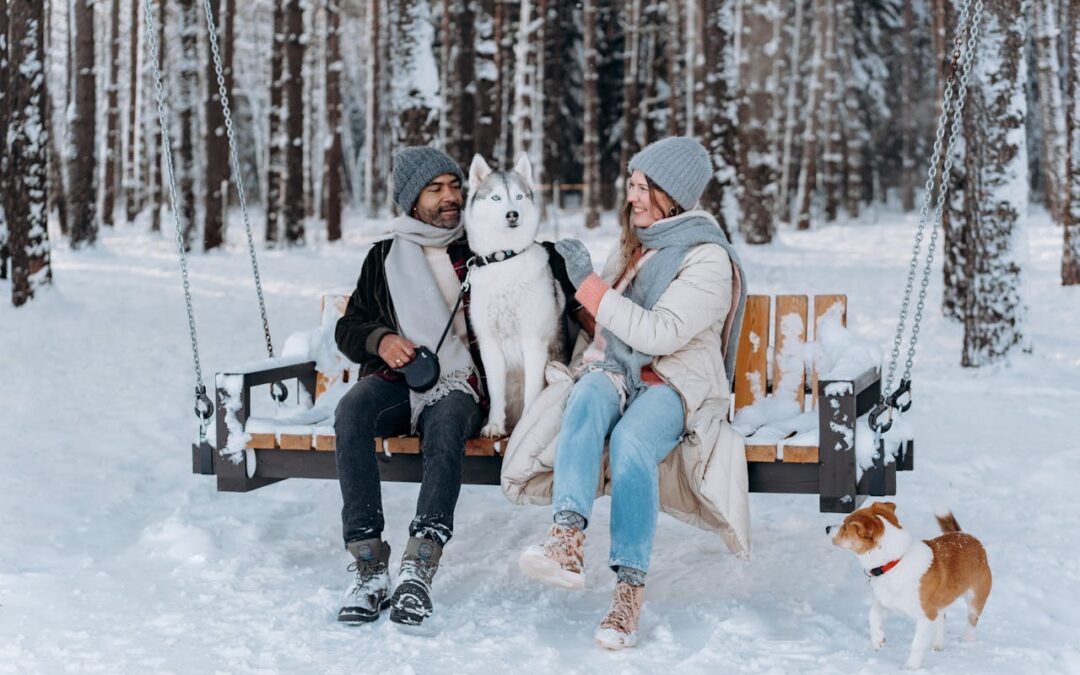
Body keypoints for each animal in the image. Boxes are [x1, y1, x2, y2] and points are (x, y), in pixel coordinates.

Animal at [464, 152, 565, 436]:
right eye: (496, 197)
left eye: (519, 196)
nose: (512, 214)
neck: (504, 259)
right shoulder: (489, 345)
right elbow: (496, 393)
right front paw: (494, 425)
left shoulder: (533, 343)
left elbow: (533, 393)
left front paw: (525, 426)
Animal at [829, 501, 989, 669]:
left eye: (845, 526)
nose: (827, 528)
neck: (895, 562)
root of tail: (966, 535)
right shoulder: (888, 603)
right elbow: (873, 615)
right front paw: (878, 640)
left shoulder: (926, 616)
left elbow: (917, 644)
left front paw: (911, 667)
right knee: (942, 618)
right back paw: (937, 645)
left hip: (976, 597)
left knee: (972, 619)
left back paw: (967, 640)